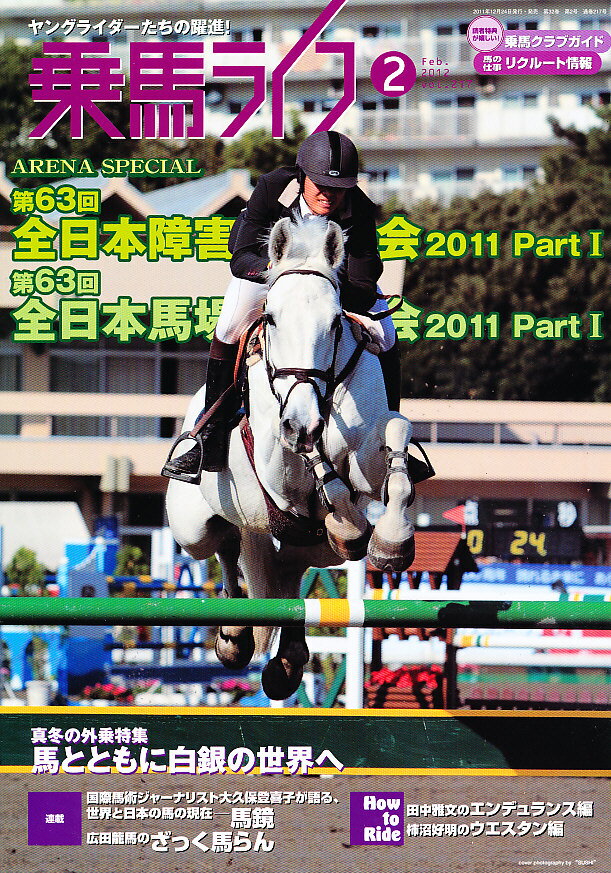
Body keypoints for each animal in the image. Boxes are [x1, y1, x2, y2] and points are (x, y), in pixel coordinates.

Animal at [166, 215, 416, 700]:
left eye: (336, 323)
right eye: (272, 319)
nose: (301, 422)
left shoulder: (368, 456)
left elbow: (395, 438)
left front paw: (392, 542)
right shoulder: (277, 464)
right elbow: (312, 460)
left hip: (316, 548)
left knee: (291, 565)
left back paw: (288, 659)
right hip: (193, 527)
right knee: (225, 545)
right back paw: (234, 638)